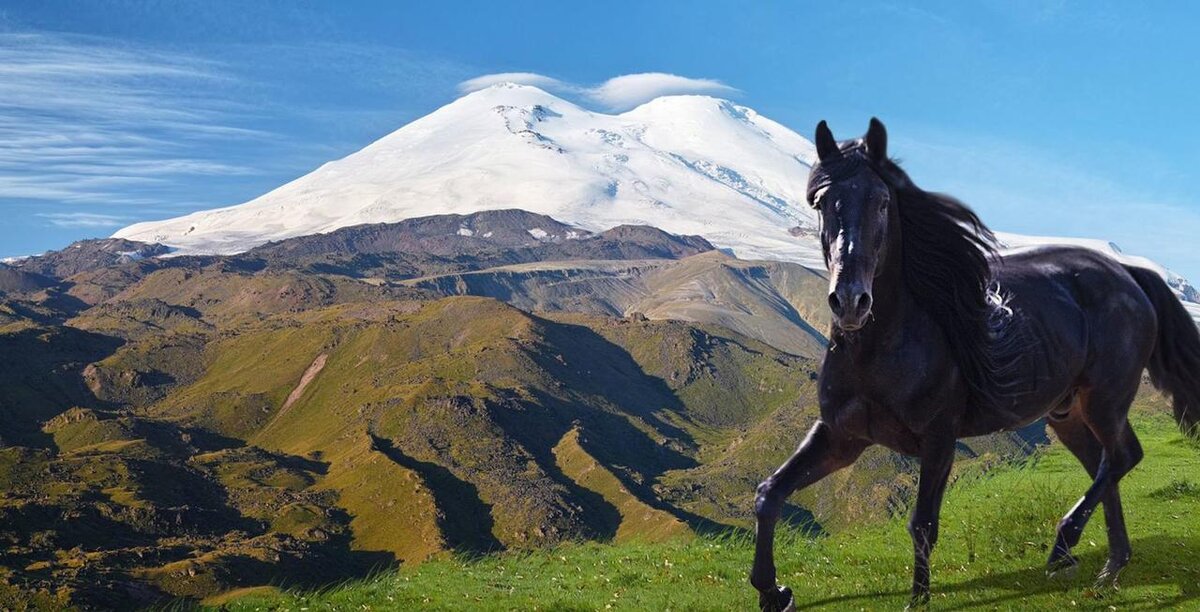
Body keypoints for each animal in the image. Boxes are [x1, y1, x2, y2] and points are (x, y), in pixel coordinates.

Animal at [748, 117, 1200, 609]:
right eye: (821, 202)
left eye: (882, 201)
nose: (850, 301)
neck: (884, 347)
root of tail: (1128, 274)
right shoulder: (841, 436)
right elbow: (769, 493)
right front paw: (774, 592)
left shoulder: (939, 437)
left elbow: (922, 524)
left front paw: (917, 600)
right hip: (1068, 413)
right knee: (1107, 461)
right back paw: (1110, 567)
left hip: (1105, 399)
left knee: (1121, 456)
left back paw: (1065, 547)